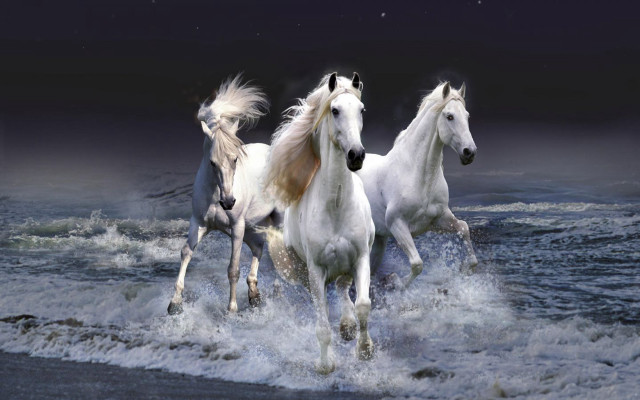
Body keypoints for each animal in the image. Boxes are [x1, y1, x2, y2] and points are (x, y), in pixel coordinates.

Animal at [167, 75, 284, 315]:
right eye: (212, 162)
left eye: (235, 159)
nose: (228, 202)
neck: (215, 195)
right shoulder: (199, 223)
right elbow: (185, 252)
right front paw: (174, 303)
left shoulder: (237, 227)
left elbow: (233, 268)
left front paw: (231, 310)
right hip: (251, 226)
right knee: (259, 247)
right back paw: (254, 295)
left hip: (274, 221)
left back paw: (276, 291)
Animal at [263, 72, 375, 374]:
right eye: (334, 110)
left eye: (361, 110)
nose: (356, 155)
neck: (336, 206)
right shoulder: (315, 270)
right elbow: (322, 325)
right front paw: (326, 365)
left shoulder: (361, 257)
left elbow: (363, 305)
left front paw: (364, 350)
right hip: (305, 273)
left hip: (346, 265)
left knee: (343, 288)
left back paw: (347, 327)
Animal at [356, 82, 478, 288]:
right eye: (450, 116)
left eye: (467, 116)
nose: (469, 152)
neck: (418, 176)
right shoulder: (397, 224)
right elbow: (417, 264)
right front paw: (395, 281)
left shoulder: (437, 220)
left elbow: (463, 228)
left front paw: (466, 268)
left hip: (378, 241)